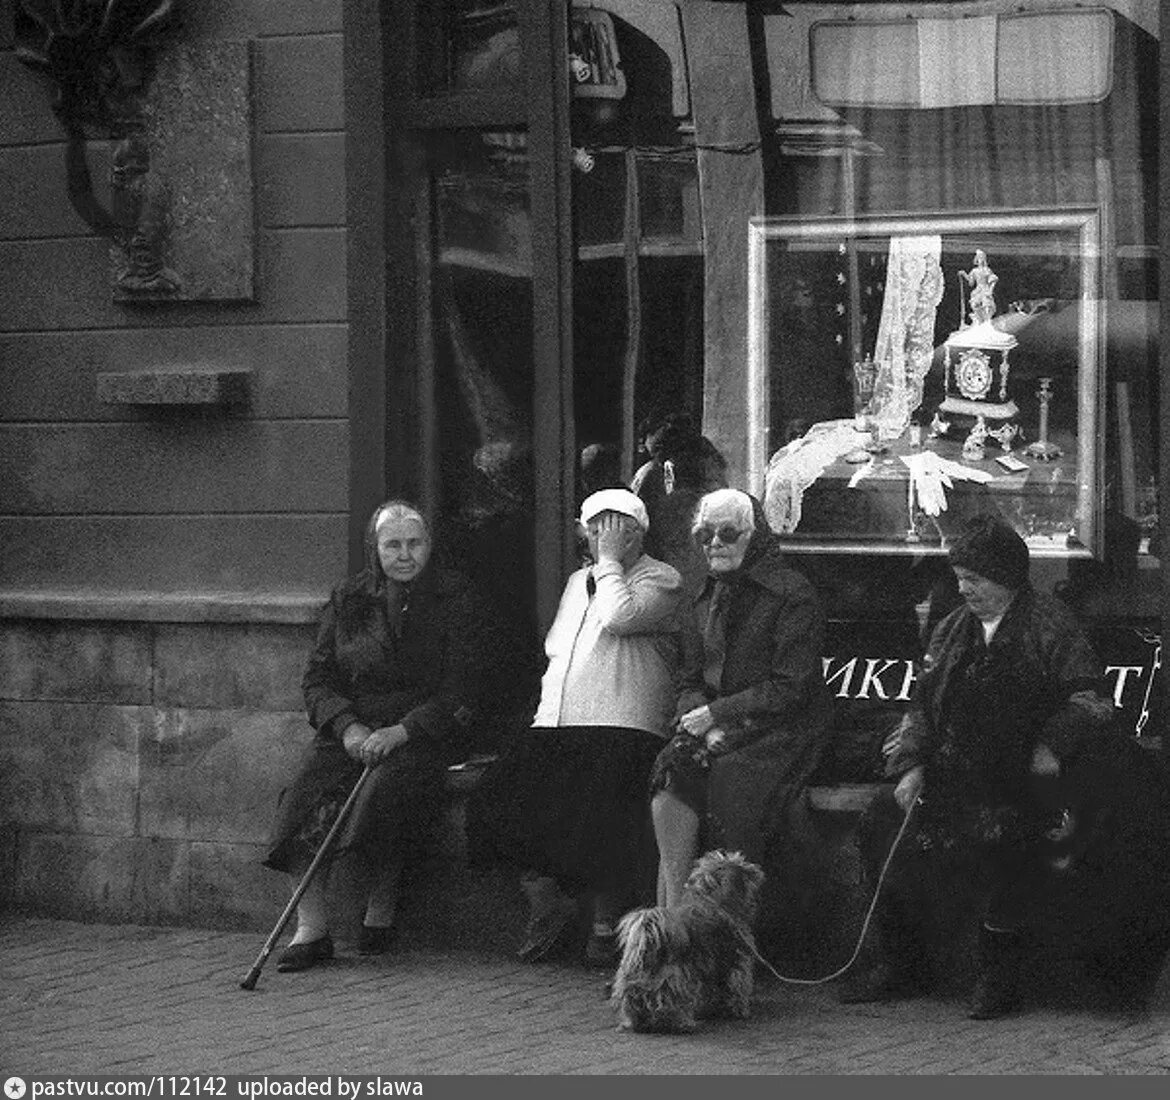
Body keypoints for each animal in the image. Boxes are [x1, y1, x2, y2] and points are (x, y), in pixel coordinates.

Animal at [613, 851, 767, 1029]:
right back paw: (682, 1022)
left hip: (631, 979)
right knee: (672, 1002)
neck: (718, 901)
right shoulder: (738, 962)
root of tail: (650, 939)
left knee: (632, 1001)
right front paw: (740, 1010)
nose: (756, 869)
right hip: (675, 980)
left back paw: (633, 1021)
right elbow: (738, 986)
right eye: (739, 861)